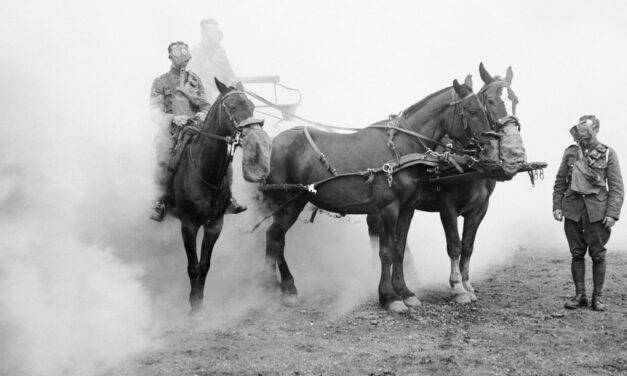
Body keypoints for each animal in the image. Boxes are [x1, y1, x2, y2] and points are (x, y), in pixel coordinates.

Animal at [167, 78, 268, 316]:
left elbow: (205, 265)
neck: (205, 172)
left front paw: (200, 303)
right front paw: (194, 308)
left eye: (252, 105)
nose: (255, 135)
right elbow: (193, 266)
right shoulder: (189, 224)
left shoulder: (215, 223)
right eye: (231, 106)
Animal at [262, 76, 500, 312]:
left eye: (482, 108)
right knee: (275, 239)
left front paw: (405, 292)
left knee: (274, 240)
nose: (492, 148)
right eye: (472, 110)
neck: (401, 149)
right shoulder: (389, 208)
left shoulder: (407, 208)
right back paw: (281, 290)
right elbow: (386, 252)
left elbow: (399, 249)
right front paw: (390, 296)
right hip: (288, 204)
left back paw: (274, 287)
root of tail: (273, 143)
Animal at [366, 62, 528, 302]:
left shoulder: (479, 209)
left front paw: (468, 284)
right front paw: (457, 287)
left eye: (515, 100)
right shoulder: (447, 207)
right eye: (489, 101)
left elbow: (467, 246)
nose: (515, 152)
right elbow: (454, 245)